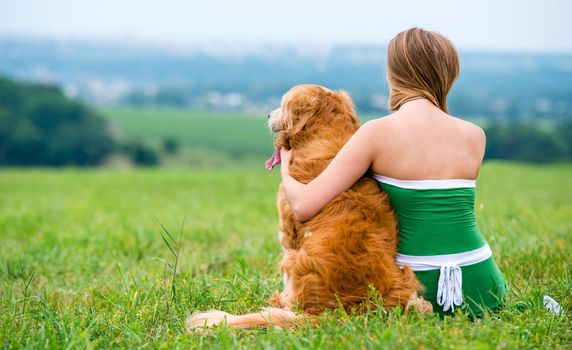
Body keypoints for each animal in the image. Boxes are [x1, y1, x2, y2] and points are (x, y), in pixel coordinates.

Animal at [187, 84, 428, 330]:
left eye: (283, 104)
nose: (268, 115)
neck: (322, 136)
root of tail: (344, 312)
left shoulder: (287, 229)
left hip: (294, 259)